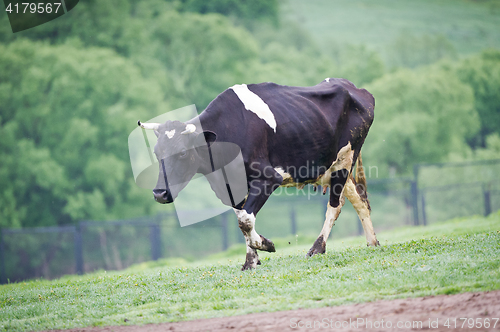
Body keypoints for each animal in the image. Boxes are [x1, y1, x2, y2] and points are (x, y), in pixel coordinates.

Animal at [137, 79, 378, 272]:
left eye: (183, 152)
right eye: (157, 152)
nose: (159, 193)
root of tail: (352, 86)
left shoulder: (269, 178)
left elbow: (245, 219)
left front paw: (265, 244)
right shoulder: (231, 188)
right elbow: (242, 217)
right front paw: (251, 261)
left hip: (345, 160)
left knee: (335, 205)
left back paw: (317, 248)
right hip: (334, 166)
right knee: (359, 199)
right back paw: (372, 243)